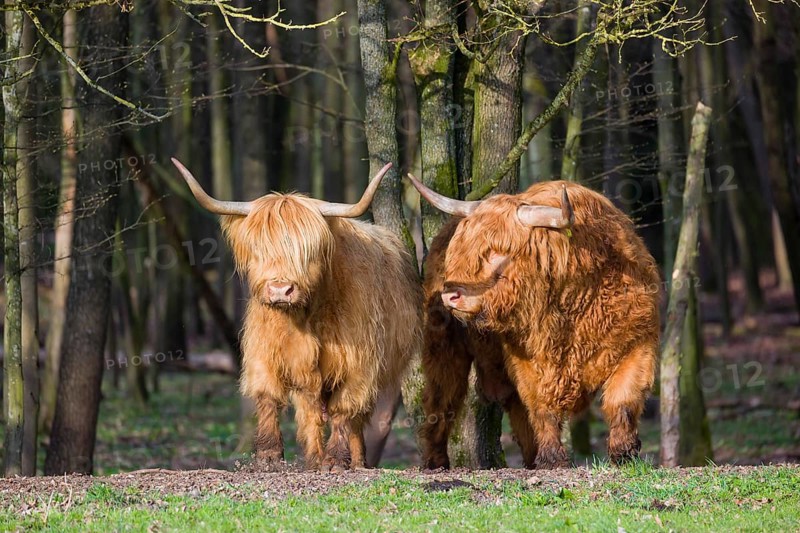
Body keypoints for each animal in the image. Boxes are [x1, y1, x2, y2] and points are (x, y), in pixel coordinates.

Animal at [172, 159, 422, 471]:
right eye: (259, 249)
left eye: (308, 251)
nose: (281, 289)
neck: (305, 317)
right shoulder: (266, 350)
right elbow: (270, 396)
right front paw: (269, 455)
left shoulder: (359, 363)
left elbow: (344, 409)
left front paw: (335, 460)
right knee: (310, 411)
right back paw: (314, 458)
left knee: (357, 417)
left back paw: (356, 461)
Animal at [407, 175, 660, 469]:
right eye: (459, 251)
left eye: (497, 251)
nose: (450, 294)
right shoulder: (527, 363)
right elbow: (541, 407)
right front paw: (553, 458)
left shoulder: (638, 342)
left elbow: (623, 398)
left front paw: (624, 452)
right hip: (444, 347)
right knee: (441, 401)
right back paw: (435, 461)